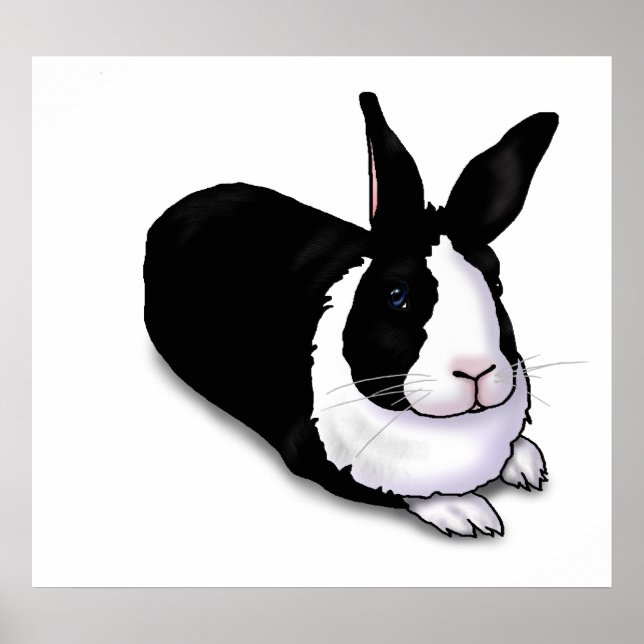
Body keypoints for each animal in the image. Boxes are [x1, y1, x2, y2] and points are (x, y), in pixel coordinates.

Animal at [144, 92, 558, 537]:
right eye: (397, 295)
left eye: (496, 285)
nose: (477, 372)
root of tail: (174, 211)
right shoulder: (321, 458)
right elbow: (404, 493)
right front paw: (469, 514)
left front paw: (529, 465)